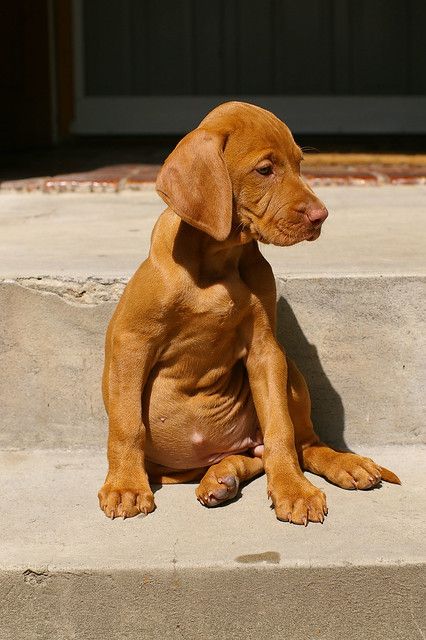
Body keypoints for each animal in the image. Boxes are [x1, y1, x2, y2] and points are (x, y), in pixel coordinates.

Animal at [98, 101, 402, 524]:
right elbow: (127, 423)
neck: (217, 259)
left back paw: (344, 463)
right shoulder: (131, 341)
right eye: (265, 170)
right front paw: (126, 486)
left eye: (300, 164)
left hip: (290, 370)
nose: (321, 216)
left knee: (302, 444)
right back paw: (219, 479)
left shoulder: (265, 350)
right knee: (248, 457)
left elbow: (280, 431)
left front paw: (292, 490)